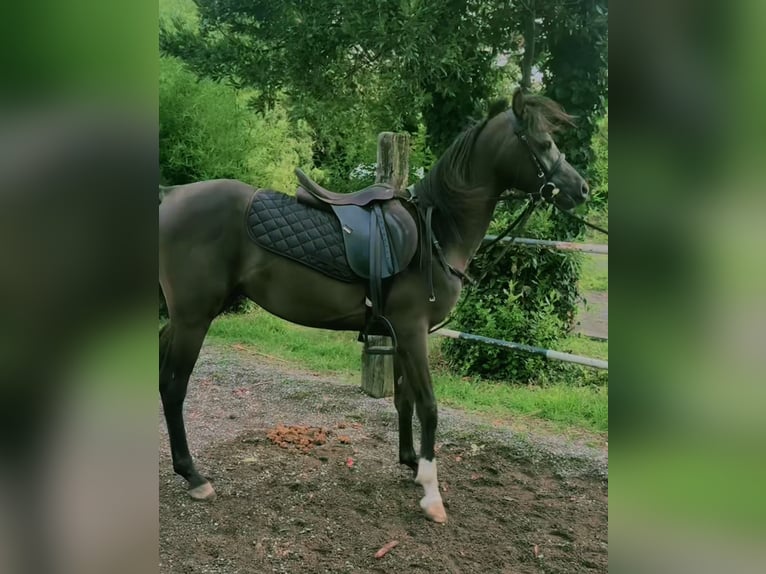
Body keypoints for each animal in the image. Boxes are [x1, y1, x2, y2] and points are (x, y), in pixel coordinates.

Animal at [159, 88, 589, 523]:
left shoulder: (401, 335)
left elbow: (404, 400)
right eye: (543, 144)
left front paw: (411, 462)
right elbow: (429, 406)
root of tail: (170, 196)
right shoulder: (413, 332)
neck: (437, 232)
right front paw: (431, 493)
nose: (583, 189)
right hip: (195, 319)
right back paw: (194, 476)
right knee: (175, 389)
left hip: (184, 318)